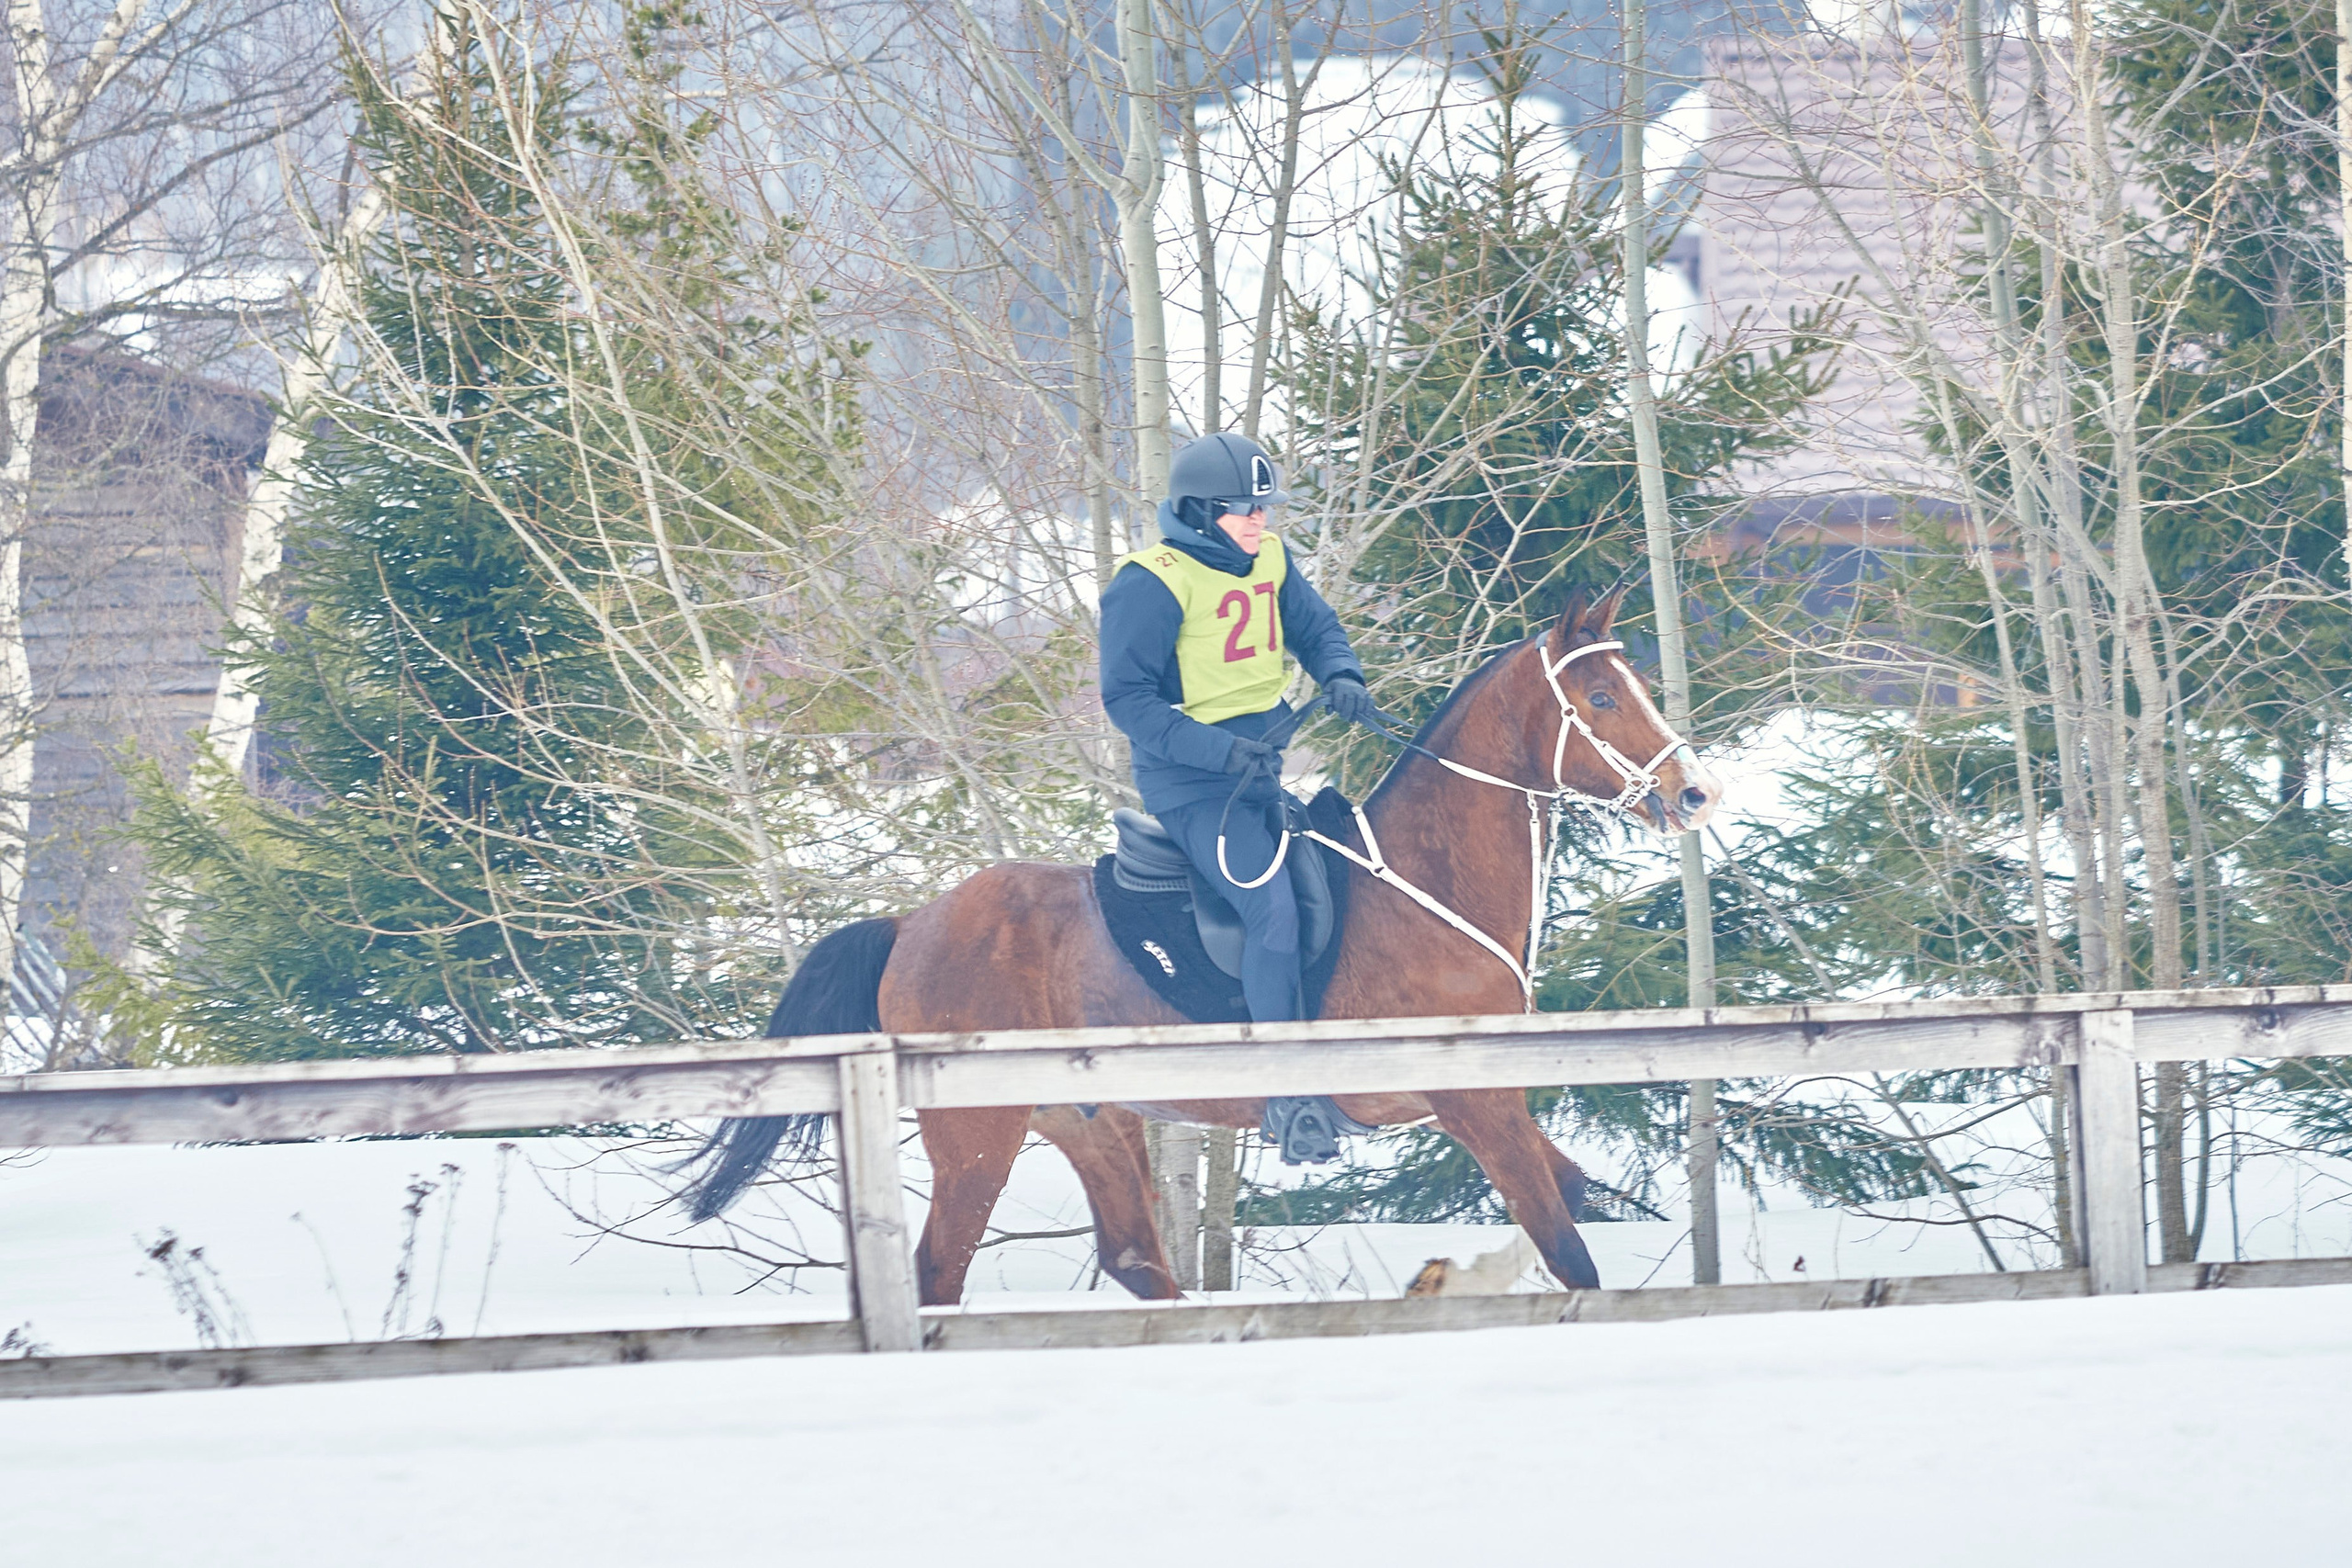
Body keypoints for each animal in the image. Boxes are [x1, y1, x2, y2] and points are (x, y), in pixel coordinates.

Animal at [681, 586, 1720, 1301]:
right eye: (1600, 696)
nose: (1695, 793)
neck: (1428, 883)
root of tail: (910, 924)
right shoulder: (1474, 1104)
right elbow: (1568, 1247)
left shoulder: (1496, 1103)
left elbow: (1576, 1201)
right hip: (978, 1134)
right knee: (943, 1270)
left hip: (1091, 1122)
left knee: (1137, 1259)